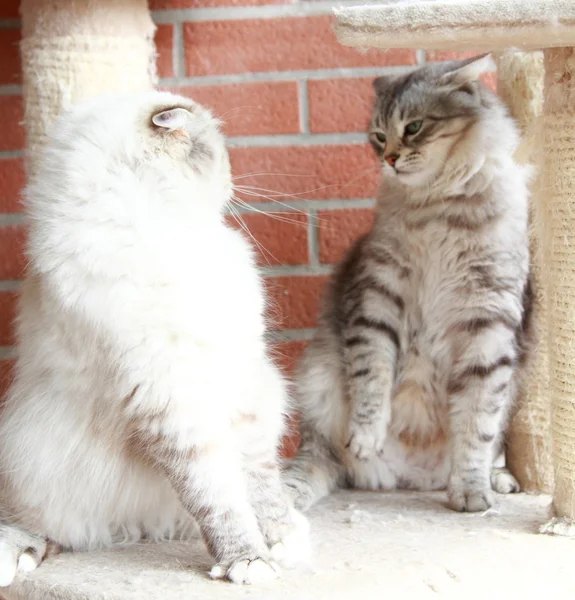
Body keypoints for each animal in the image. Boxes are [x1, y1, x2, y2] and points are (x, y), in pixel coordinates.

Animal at [0, 90, 310, 584]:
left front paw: (281, 542)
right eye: (220, 154)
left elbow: (261, 486)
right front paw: (246, 561)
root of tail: (137, 529)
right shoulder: (173, 402)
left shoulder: (240, 386)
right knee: (42, 529)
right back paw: (17, 557)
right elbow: (218, 499)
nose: (232, 180)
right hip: (32, 465)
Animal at [286, 56, 532, 512]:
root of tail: (414, 479)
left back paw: (498, 480)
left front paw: (470, 492)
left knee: (492, 443)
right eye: (379, 136)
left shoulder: (488, 318)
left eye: (414, 126)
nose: (390, 159)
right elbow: (372, 376)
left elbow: (477, 422)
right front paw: (367, 436)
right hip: (317, 383)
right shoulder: (378, 296)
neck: (438, 208)